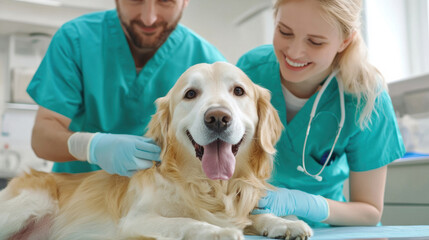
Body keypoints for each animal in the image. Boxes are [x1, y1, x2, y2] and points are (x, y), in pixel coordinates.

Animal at [0, 62, 310, 240]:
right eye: (190, 94)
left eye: (238, 91)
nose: (218, 118)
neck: (208, 186)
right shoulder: (136, 220)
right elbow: (186, 221)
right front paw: (218, 231)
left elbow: (254, 215)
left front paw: (284, 223)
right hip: (28, 205)